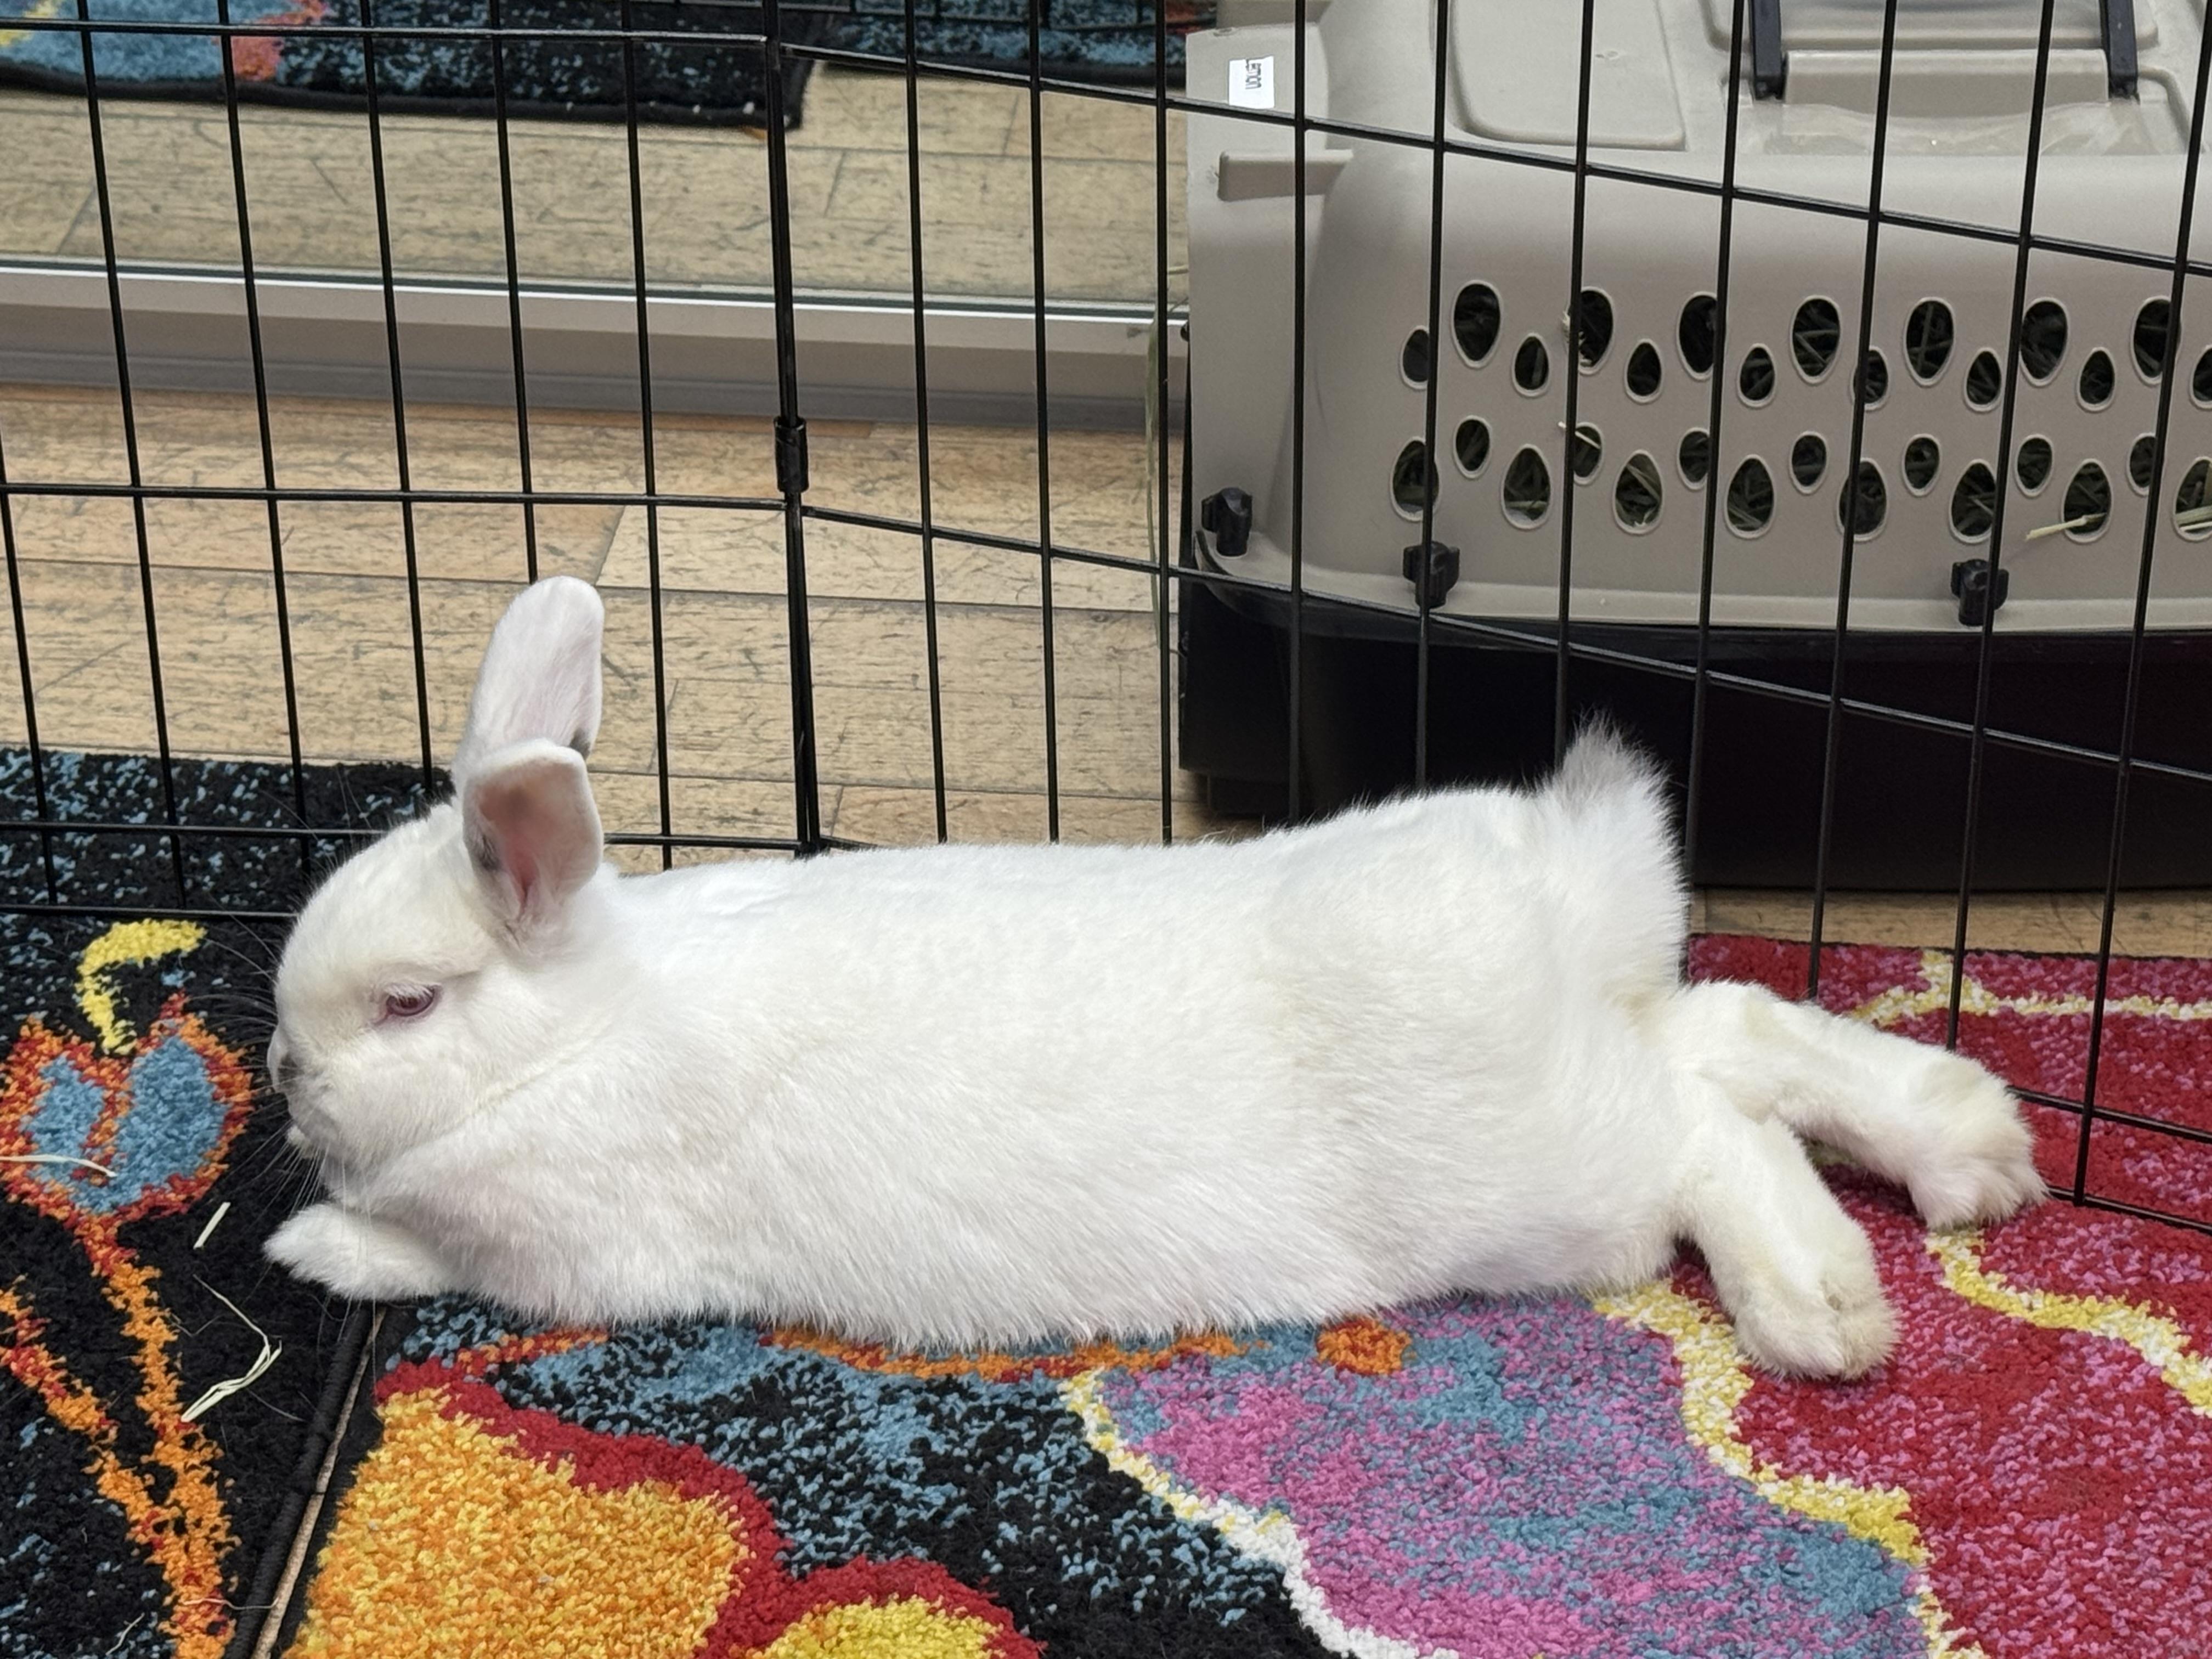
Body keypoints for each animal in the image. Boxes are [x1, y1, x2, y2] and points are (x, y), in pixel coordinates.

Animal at [264, 575, 2044, 1378]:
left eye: (409, 1005)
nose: (282, 1079)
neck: (575, 1033)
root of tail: (1564, 892)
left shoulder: (565, 1259)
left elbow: (414, 1256)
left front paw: (306, 1246)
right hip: (1603, 1062)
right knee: (1732, 1032)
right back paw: (1969, 1150)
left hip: (1554, 1171)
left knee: (1704, 1127)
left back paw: (1824, 1311)